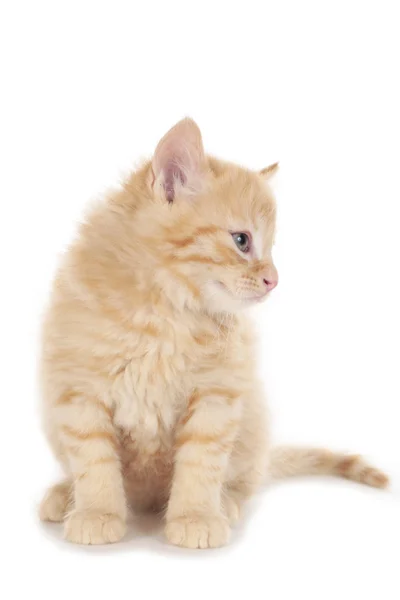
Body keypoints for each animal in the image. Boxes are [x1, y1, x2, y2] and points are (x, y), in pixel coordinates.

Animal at [38, 117, 388, 548]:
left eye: (271, 248)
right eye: (242, 241)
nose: (274, 280)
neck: (164, 314)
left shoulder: (217, 394)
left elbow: (200, 463)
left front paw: (196, 517)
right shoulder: (79, 389)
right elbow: (94, 461)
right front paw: (97, 513)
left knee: (243, 479)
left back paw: (227, 503)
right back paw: (63, 496)